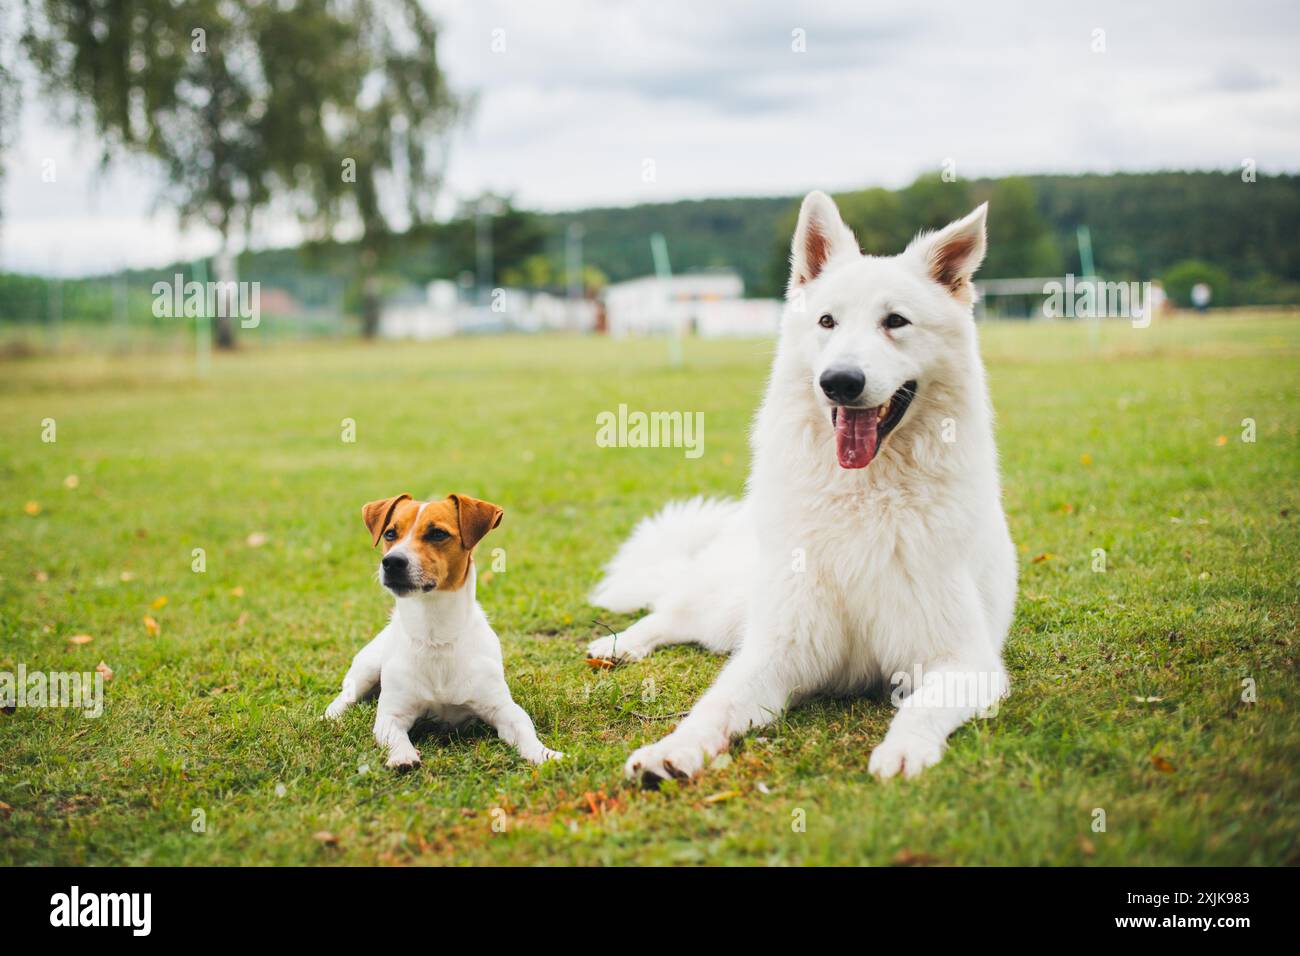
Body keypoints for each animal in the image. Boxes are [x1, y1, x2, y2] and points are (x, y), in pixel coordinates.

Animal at [587, 191, 1013, 780]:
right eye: (827, 321)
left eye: (895, 322)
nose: (840, 381)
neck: (864, 495)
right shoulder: (778, 650)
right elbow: (715, 704)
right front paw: (672, 749)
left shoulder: (964, 661)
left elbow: (923, 708)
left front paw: (904, 750)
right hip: (729, 605)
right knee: (669, 613)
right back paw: (619, 645)